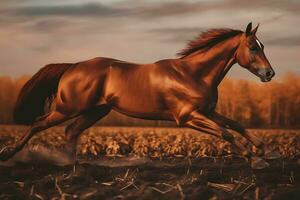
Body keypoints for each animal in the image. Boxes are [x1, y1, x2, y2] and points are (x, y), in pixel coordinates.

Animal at [0, 22, 276, 167]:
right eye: (253, 47)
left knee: (70, 131)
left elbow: (236, 124)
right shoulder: (187, 117)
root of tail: (72, 66)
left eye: (263, 45)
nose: (270, 73)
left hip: (95, 111)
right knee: (38, 124)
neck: (192, 74)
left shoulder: (207, 111)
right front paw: (254, 158)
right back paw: (10, 154)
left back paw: (73, 166)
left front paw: (262, 149)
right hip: (67, 108)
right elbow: (225, 132)